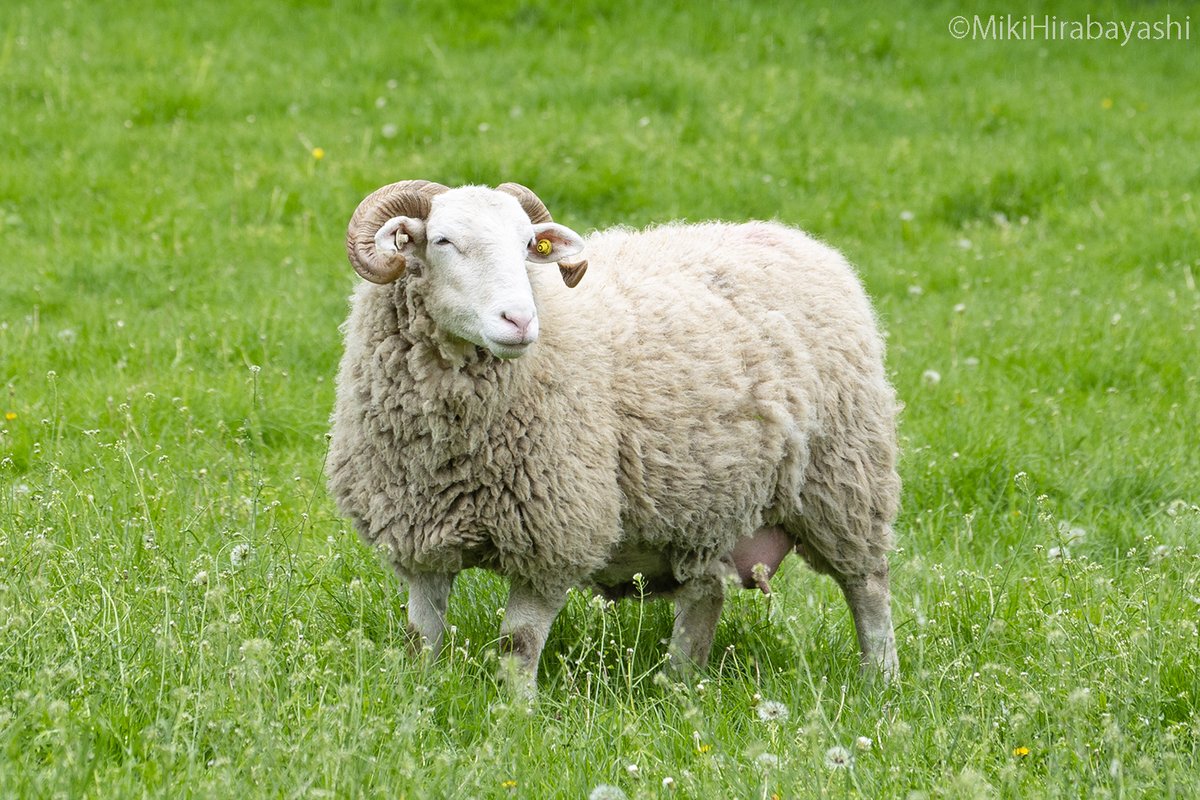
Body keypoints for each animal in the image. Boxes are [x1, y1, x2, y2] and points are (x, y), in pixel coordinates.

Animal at [326, 179, 901, 686]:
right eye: (442, 241)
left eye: (527, 246)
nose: (520, 321)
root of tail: (798, 239)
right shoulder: (420, 539)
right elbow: (420, 638)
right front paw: (417, 696)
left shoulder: (555, 535)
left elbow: (518, 645)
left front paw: (516, 715)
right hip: (708, 505)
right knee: (706, 594)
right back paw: (677, 685)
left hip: (844, 479)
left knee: (867, 586)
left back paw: (881, 681)